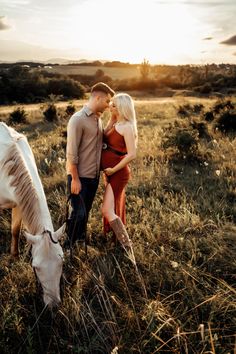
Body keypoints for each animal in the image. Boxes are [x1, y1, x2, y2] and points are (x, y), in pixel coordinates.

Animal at [0, 123, 64, 308]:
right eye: (35, 267)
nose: (53, 304)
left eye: (62, 262)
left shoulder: (18, 203)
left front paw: (14, 258)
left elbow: (15, 230)